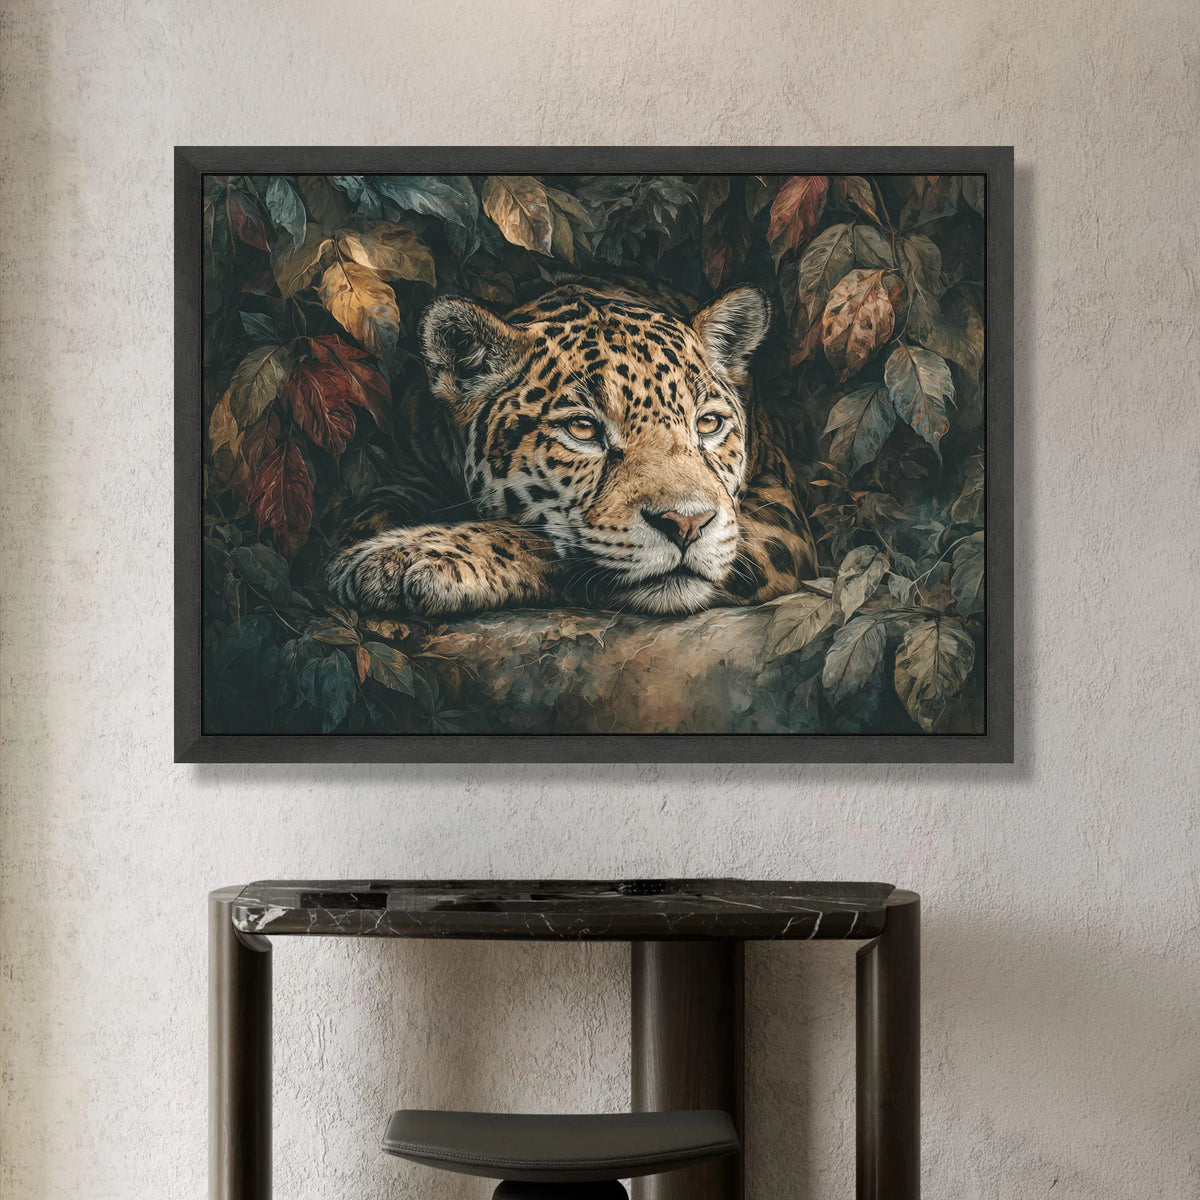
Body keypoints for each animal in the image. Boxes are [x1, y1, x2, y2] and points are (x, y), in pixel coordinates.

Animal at [325, 283, 816, 618]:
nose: (686, 524)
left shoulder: (778, 518)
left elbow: (540, 542)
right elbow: (365, 511)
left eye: (708, 424)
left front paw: (409, 556)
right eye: (583, 429)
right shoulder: (403, 472)